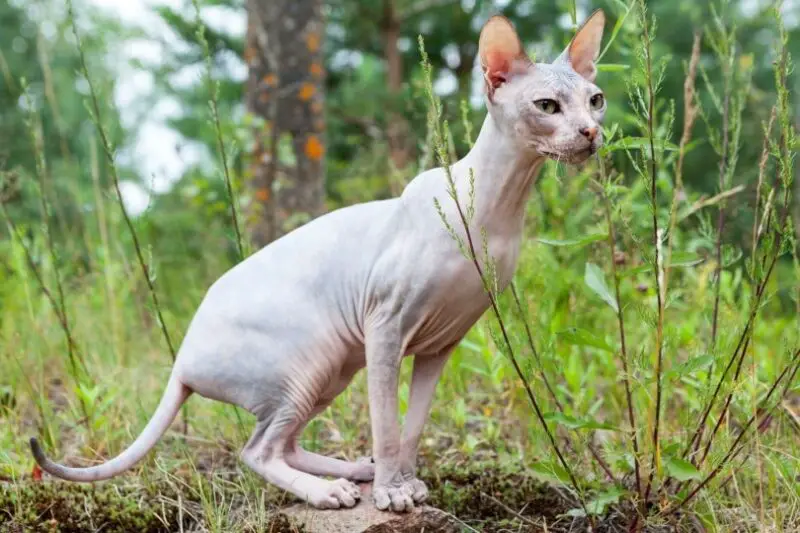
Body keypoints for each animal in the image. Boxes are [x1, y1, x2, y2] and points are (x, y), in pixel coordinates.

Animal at [31, 11, 608, 512]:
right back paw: (329, 491)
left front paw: (403, 482)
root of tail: (179, 364)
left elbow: (412, 426)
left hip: (333, 368)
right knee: (256, 450)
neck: (498, 212)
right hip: (307, 361)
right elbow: (387, 422)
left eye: (595, 100)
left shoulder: (441, 343)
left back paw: (351, 470)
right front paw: (391, 494)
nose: (591, 132)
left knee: (282, 442)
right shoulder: (387, 326)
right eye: (548, 106)